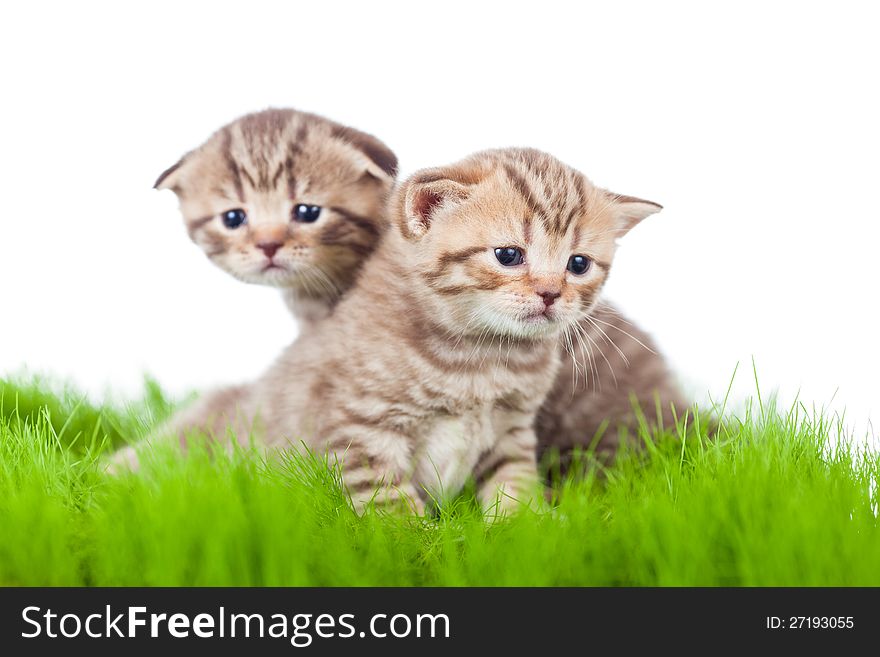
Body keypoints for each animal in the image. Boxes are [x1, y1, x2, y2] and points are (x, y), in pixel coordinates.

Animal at [235, 149, 660, 512]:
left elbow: (514, 484)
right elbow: (390, 507)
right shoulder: (360, 428)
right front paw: (418, 545)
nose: (551, 293)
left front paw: (524, 527)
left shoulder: (513, 429)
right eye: (508, 255)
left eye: (578, 264)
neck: (480, 358)